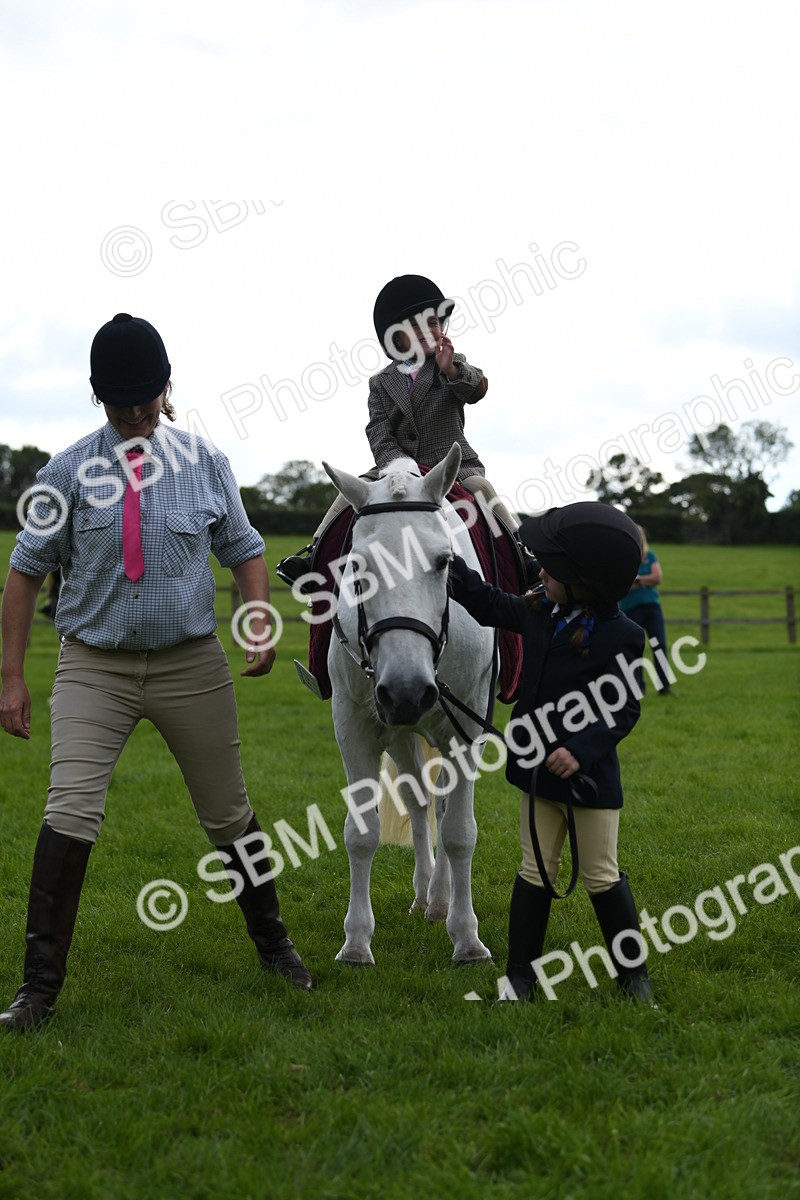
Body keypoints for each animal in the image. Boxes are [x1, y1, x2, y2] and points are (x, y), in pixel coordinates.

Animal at [322, 443, 495, 966]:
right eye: (357, 568)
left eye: (442, 562)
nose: (406, 691)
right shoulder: (354, 724)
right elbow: (361, 834)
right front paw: (356, 942)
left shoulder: (467, 729)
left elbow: (459, 832)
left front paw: (467, 938)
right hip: (400, 732)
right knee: (421, 802)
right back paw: (426, 895)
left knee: (443, 807)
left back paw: (441, 901)